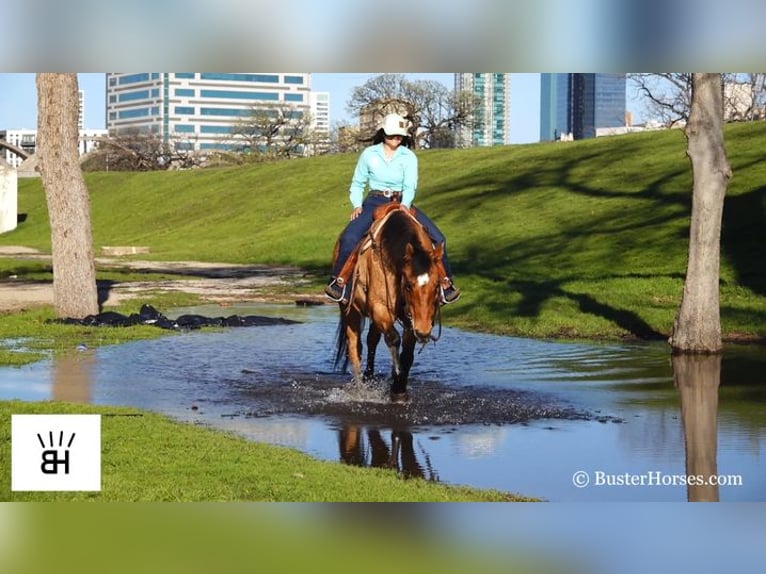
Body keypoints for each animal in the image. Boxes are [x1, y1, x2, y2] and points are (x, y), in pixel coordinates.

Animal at [332, 205, 444, 402]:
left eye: (437, 286)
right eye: (408, 285)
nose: (424, 331)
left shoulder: (411, 319)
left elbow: (407, 353)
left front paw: (399, 389)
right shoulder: (379, 307)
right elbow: (393, 339)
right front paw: (397, 379)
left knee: (372, 340)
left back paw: (369, 377)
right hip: (350, 309)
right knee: (355, 347)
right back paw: (361, 388)